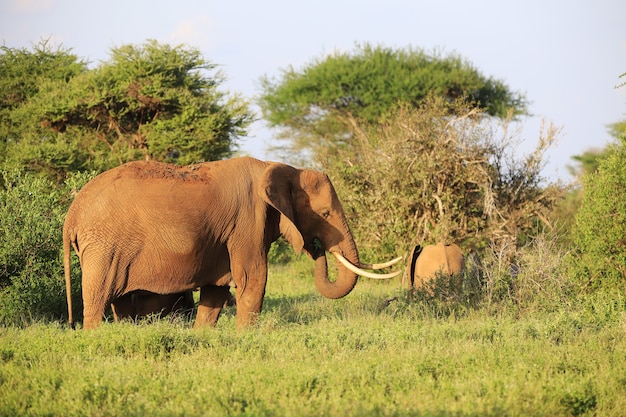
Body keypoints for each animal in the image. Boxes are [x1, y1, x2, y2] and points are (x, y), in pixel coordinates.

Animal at [64, 156, 400, 328]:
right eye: (326, 213)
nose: (315, 246)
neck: (280, 166)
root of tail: (71, 216)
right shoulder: (248, 221)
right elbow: (253, 279)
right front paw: (246, 337)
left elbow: (217, 288)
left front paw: (203, 338)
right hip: (104, 246)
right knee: (97, 299)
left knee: (118, 302)